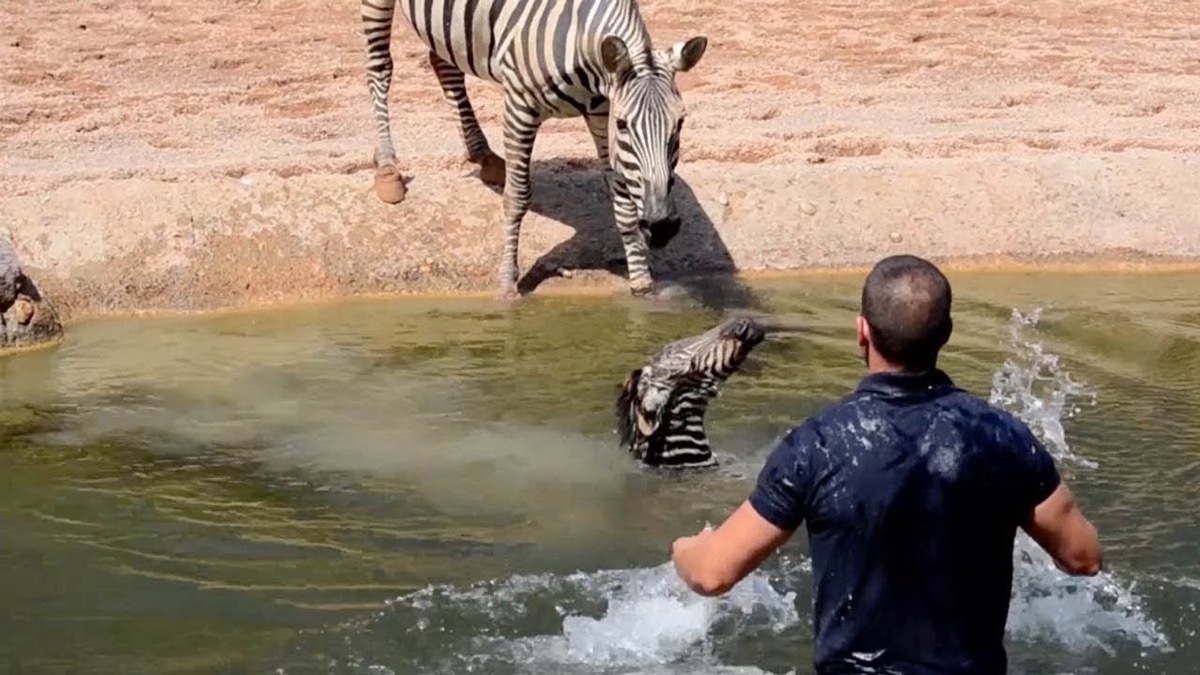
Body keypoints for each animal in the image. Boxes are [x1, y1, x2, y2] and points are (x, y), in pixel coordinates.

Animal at [361, 0, 708, 299]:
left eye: (680, 122)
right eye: (623, 125)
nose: (662, 227)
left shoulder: (600, 111)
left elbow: (621, 198)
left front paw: (642, 285)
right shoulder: (519, 107)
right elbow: (516, 198)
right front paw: (507, 287)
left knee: (442, 61)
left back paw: (483, 154)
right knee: (380, 66)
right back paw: (388, 168)